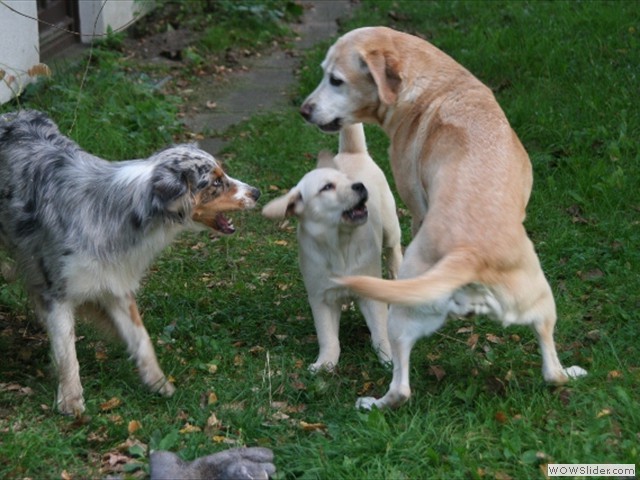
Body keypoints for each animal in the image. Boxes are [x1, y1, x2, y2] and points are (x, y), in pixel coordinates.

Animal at [260, 124, 400, 372]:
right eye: (327, 187)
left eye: (349, 180)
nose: (360, 185)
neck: (339, 244)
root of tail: (352, 152)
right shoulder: (320, 298)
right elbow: (327, 336)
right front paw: (325, 363)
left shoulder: (372, 294)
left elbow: (380, 330)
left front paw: (388, 358)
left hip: (390, 226)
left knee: (394, 251)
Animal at [300, 26, 584, 408]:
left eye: (335, 80)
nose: (304, 111)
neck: (434, 84)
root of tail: (469, 254)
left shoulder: (416, 208)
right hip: (541, 301)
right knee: (552, 370)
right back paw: (571, 372)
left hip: (402, 317)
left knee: (400, 388)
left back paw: (371, 403)